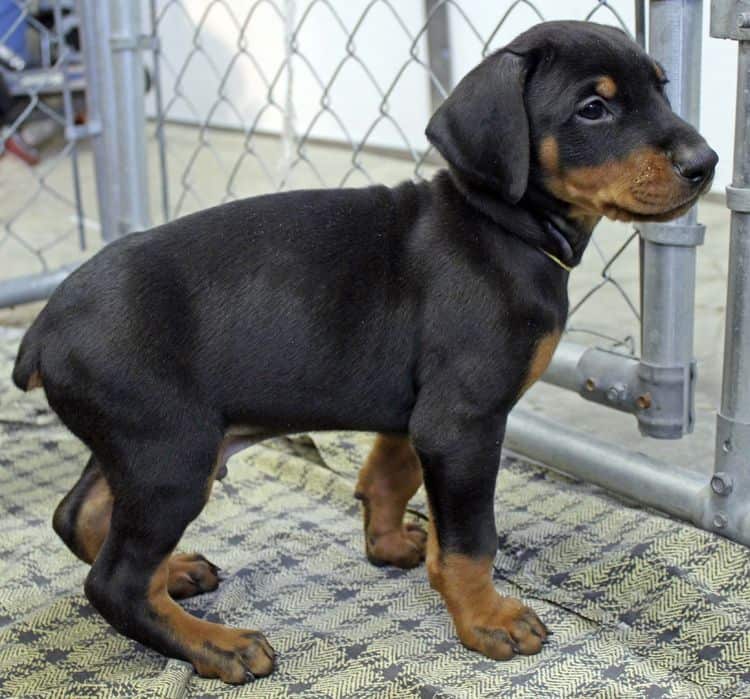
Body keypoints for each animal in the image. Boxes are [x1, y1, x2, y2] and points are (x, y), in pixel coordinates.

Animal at [10, 20, 716, 684]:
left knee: (77, 515)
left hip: (144, 444)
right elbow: (471, 539)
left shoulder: (418, 408)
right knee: (115, 582)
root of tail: (44, 328)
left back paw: (176, 574)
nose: (706, 162)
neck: (501, 227)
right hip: (172, 454)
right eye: (593, 109)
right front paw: (486, 619)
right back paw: (216, 644)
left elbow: (390, 472)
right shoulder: (463, 421)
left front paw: (391, 545)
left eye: (662, 87)